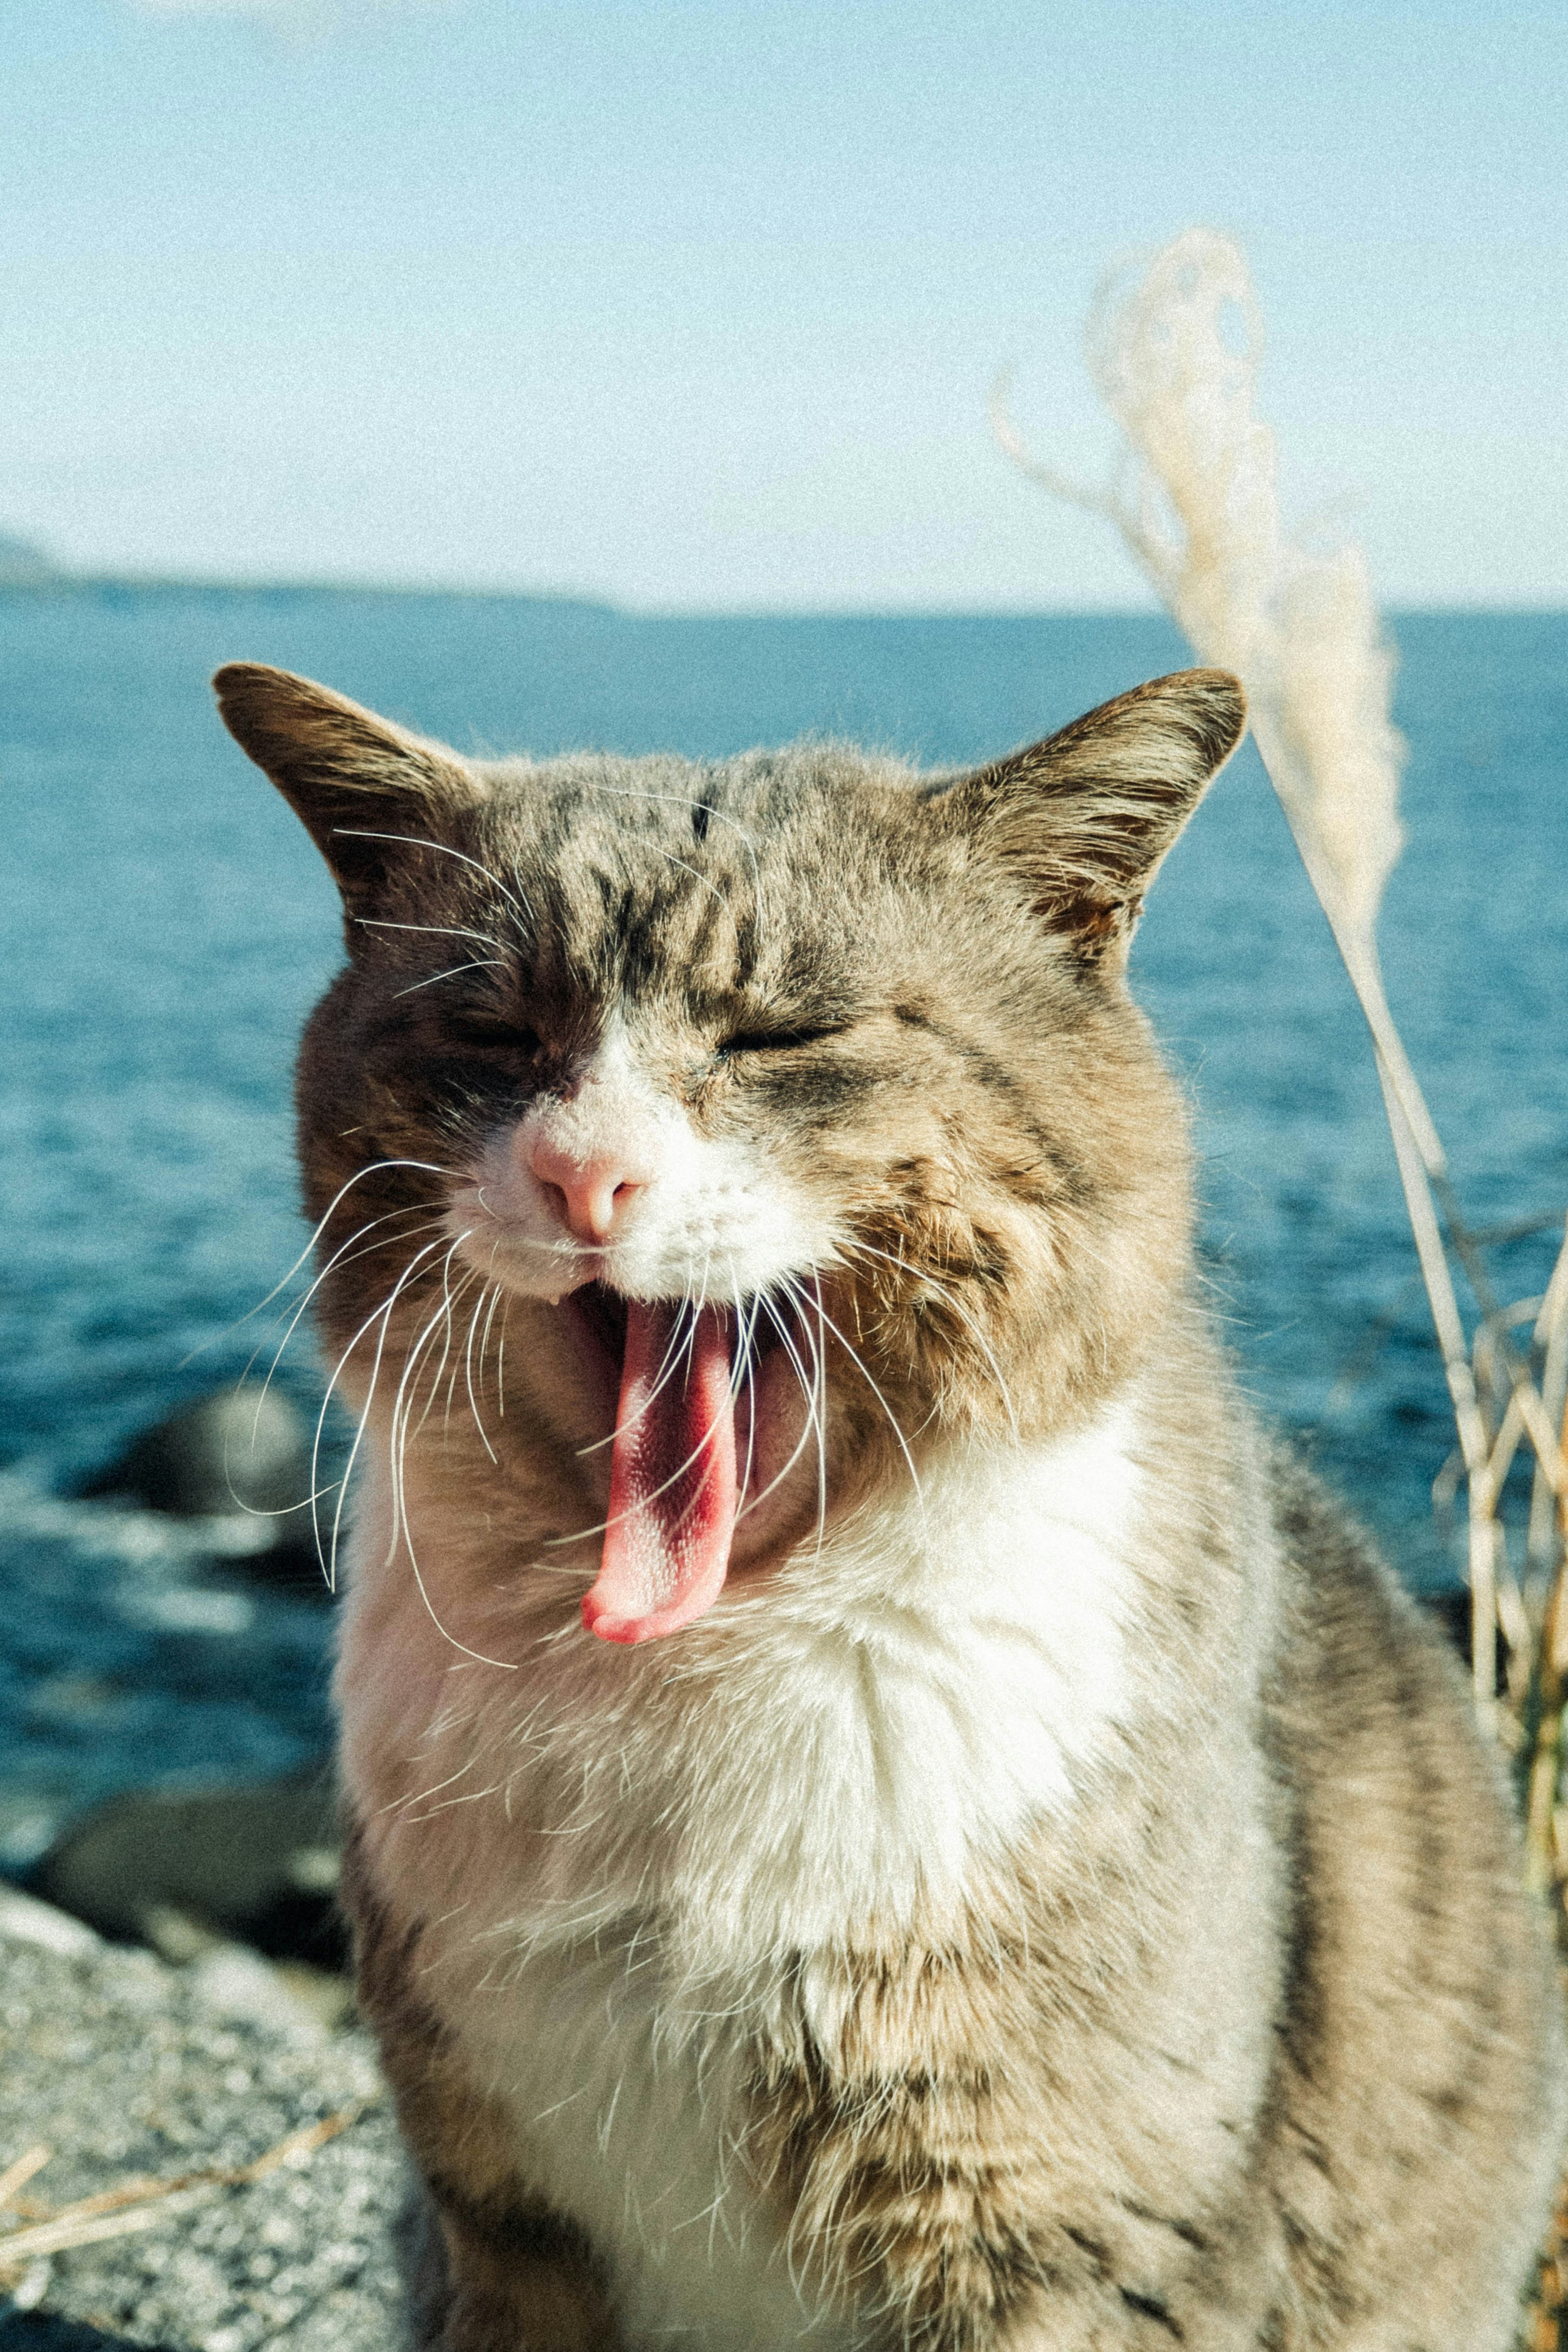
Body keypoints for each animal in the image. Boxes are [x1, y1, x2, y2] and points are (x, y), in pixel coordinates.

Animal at [215, 663, 1561, 2352]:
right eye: (495, 1029)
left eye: (780, 1033)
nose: (587, 1172)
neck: (688, 1667)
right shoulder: (496, 2225)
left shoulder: (1064, 2233)